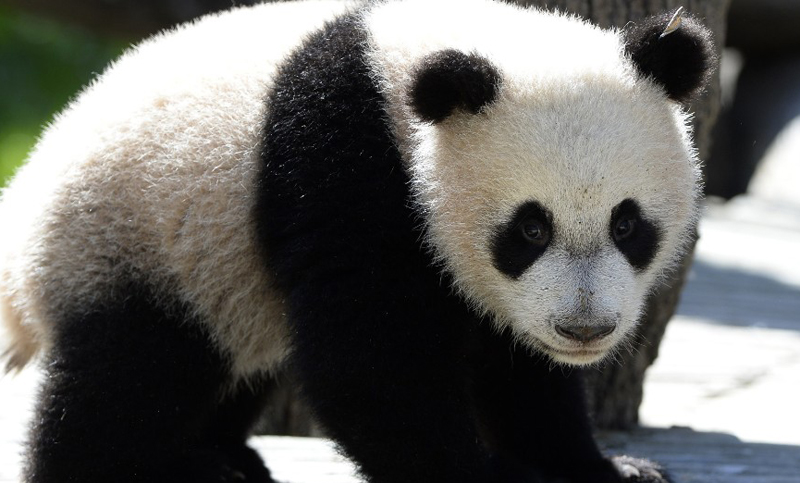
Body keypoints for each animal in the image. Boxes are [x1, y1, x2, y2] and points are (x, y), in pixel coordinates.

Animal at [0, 0, 715, 482]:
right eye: (529, 229)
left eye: (627, 225)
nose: (584, 329)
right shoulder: (345, 166)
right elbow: (369, 358)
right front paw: (491, 477)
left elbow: (515, 368)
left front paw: (607, 468)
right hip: (132, 238)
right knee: (131, 376)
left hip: (222, 276)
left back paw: (219, 456)